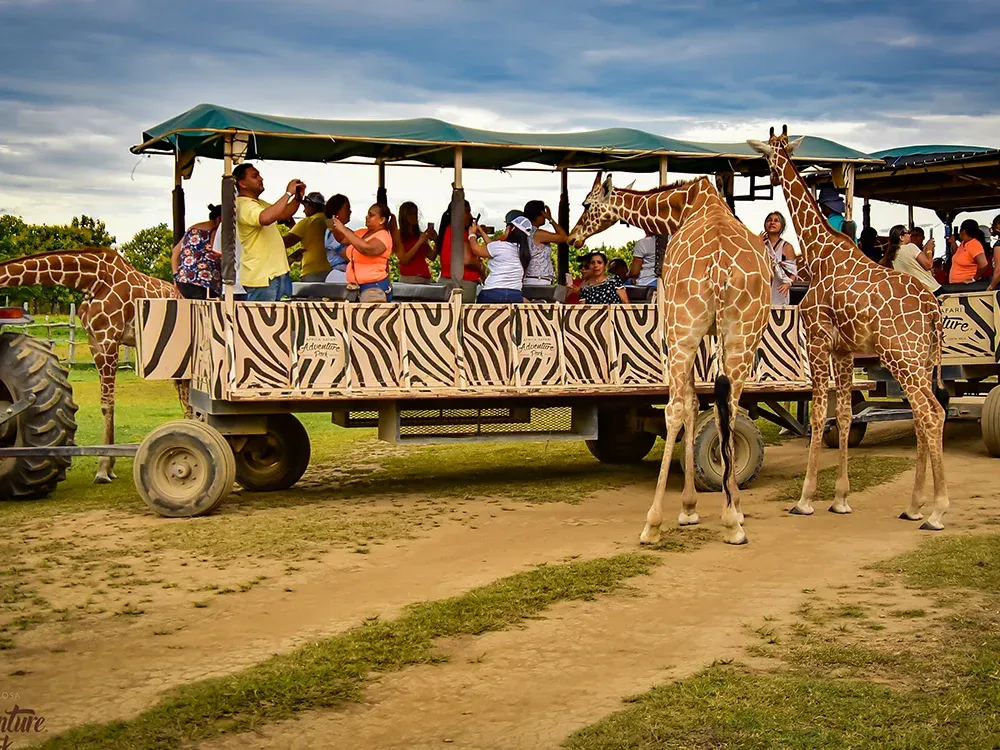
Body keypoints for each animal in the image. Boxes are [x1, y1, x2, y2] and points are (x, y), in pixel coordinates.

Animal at [0, 250, 191, 484]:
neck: (91, 281)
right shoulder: (95, 342)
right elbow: (109, 403)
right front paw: (110, 467)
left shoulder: (109, 339)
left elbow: (107, 404)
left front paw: (102, 469)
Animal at [568, 173, 768, 544]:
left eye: (587, 203)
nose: (573, 238)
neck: (683, 207)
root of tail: (719, 269)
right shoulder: (715, 334)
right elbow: (708, 404)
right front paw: (730, 508)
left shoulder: (676, 328)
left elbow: (688, 404)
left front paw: (688, 508)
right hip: (744, 333)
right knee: (731, 407)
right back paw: (733, 520)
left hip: (680, 329)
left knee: (674, 409)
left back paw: (653, 523)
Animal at [748, 126, 948, 532]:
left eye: (766, 154)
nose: (770, 178)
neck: (818, 251)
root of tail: (932, 308)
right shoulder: (843, 349)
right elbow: (841, 416)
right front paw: (840, 499)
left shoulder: (817, 338)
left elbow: (818, 414)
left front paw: (805, 500)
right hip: (920, 358)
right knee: (926, 416)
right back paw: (914, 506)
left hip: (901, 355)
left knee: (931, 415)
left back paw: (936, 513)